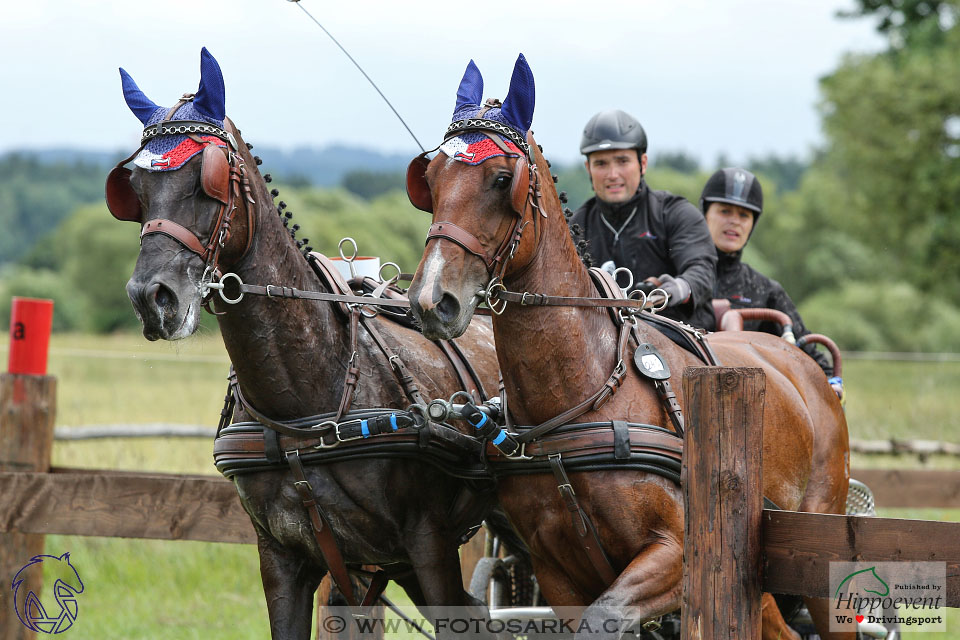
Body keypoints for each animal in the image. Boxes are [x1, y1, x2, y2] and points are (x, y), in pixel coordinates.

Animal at [105, 50, 510, 640]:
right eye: (133, 186)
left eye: (210, 180)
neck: (305, 401)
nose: (150, 297)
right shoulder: (283, 559)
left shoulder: (428, 546)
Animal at [408, 56, 852, 640]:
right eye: (430, 179)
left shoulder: (677, 555)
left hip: (817, 552)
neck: (584, 394)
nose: (430, 300)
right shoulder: (557, 574)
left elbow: (607, 617)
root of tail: (805, 366)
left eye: (503, 179)